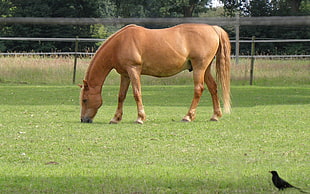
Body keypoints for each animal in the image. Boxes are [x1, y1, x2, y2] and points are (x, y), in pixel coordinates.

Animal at [79, 23, 230, 124]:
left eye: (85, 99)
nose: (83, 119)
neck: (119, 44)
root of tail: (213, 29)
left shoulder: (133, 70)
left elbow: (137, 93)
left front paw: (140, 118)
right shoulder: (125, 74)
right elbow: (121, 96)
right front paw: (116, 118)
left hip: (199, 68)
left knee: (198, 89)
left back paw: (188, 116)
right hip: (205, 69)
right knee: (213, 87)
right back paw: (215, 116)